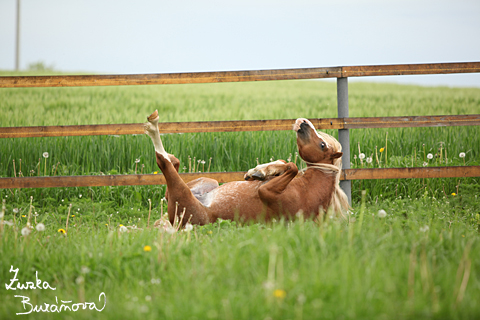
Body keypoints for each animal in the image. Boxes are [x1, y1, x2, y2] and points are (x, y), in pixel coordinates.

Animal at [143, 111, 348, 226]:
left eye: (322, 145)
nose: (304, 122)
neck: (309, 189)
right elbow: (287, 163)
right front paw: (259, 172)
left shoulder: (268, 193)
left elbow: (293, 166)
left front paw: (260, 172)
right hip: (209, 181)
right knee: (172, 170)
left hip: (182, 199)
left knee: (163, 162)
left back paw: (153, 124)